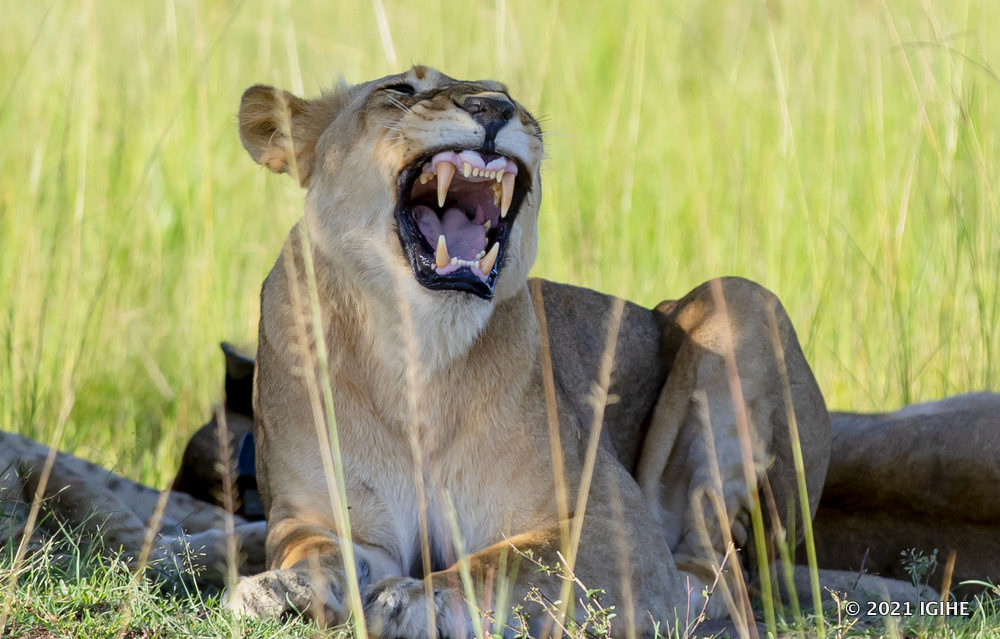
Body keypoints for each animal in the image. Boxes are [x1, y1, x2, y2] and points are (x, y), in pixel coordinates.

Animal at [222, 65, 831, 637]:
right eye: (399, 89)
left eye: (509, 95)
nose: (493, 108)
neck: (416, 348)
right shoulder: (321, 515)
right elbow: (321, 552)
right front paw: (278, 588)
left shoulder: (615, 523)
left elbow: (511, 560)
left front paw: (416, 598)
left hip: (741, 299)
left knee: (723, 570)